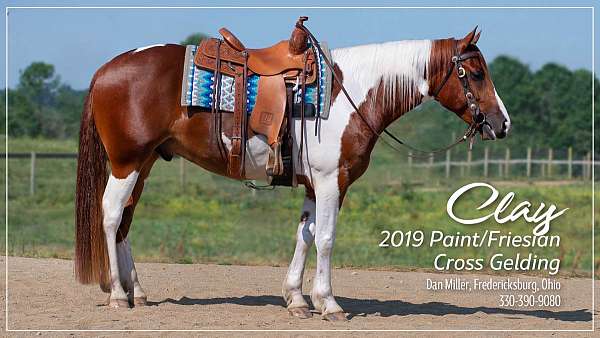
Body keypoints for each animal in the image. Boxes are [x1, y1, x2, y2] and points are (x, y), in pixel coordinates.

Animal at [72, 27, 508, 320]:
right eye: (476, 73)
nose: (501, 124)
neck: (353, 92)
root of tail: (105, 70)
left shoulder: (316, 185)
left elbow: (306, 234)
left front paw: (297, 299)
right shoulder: (333, 181)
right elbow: (327, 239)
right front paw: (329, 303)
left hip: (143, 164)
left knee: (126, 219)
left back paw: (137, 291)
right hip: (127, 162)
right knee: (111, 215)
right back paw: (117, 295)